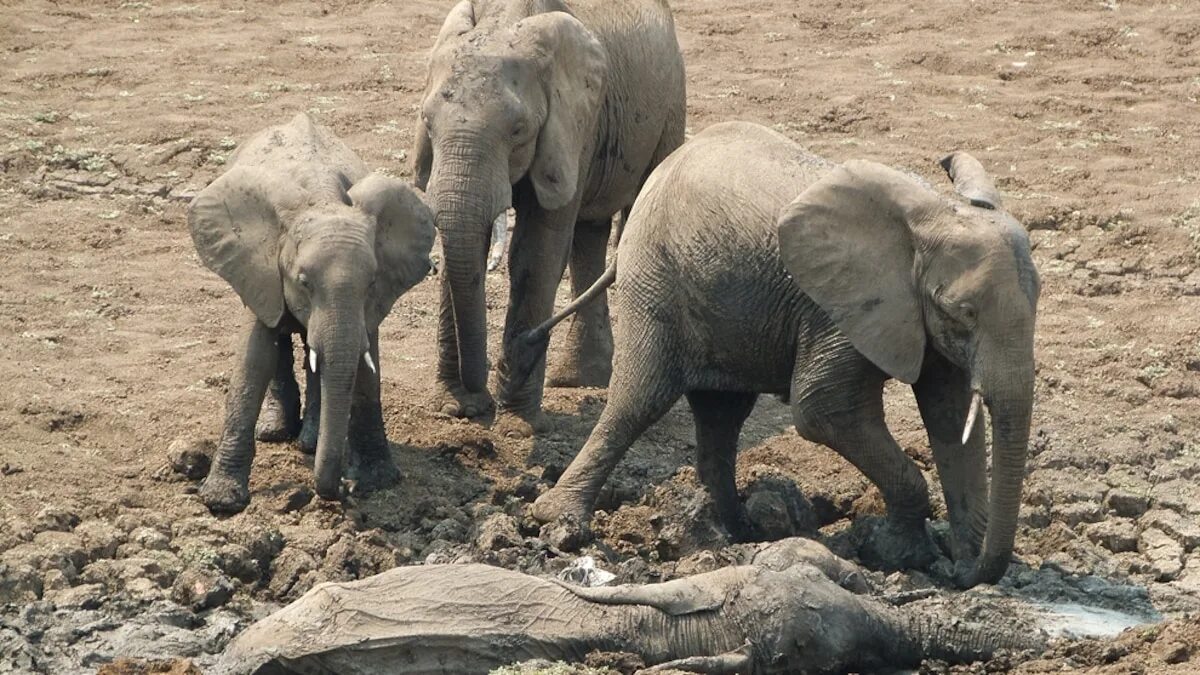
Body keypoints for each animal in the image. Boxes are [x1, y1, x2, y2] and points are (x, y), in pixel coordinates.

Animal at [184, 112, 434, 509]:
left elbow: (366, 367)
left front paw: (379, 482)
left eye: (371, 283)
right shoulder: (261, 268)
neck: (321, 197)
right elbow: (254, 358)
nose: (345, 490)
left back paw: (310, 441)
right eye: (303, 282)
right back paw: (275, 430)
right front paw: (221, 502)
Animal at [528, 120, 1041, 583]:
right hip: (654, 278)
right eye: (963, 312)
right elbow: (824, 411)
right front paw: (901, 554)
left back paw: (735, 531)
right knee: (640, 400)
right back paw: (558, 520)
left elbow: (950, 418)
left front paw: (956, 557)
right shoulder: (838, 310)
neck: (932, 215)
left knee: (722, 414)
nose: (963, 573)